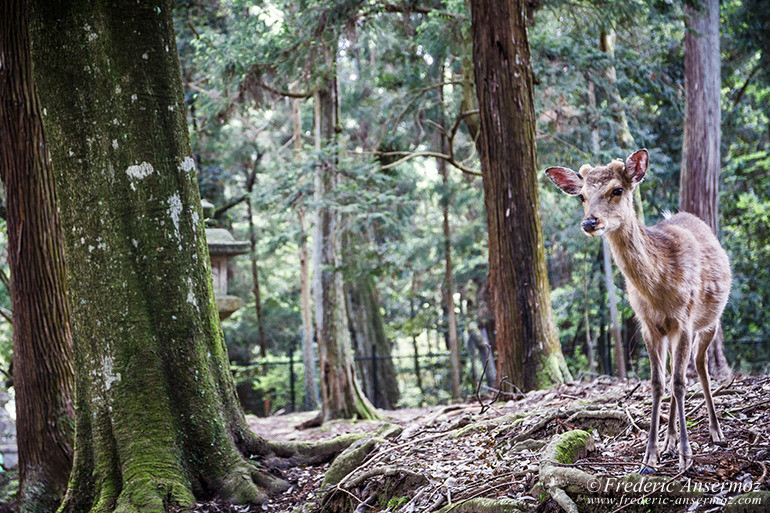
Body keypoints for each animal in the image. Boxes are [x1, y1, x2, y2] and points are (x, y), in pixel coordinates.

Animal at [544, 149, 728, 472]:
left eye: (617, 190)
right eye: (581, 196)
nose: (589, 222)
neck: (659, 291)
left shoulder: (685, 320)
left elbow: (680, 383)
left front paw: (686, 456)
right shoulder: (648, 325)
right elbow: (657, 383)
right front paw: (650, 456)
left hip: (709, 322)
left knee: (700, 367)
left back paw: (716, 432)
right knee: (674, 371)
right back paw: (669, 442)